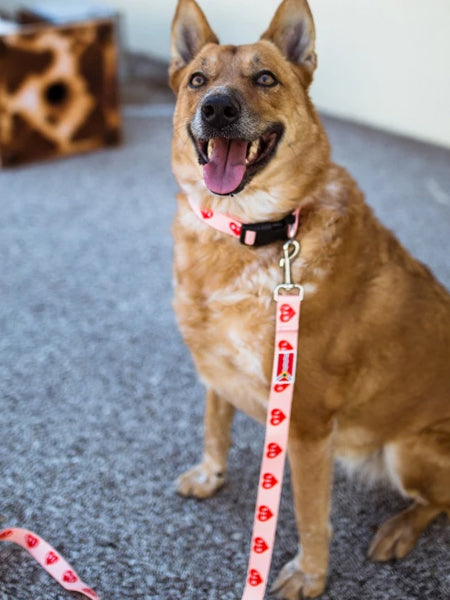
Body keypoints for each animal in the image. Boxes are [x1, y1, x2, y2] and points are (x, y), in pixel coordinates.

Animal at [169, 0, 450, 596]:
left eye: (265, 78)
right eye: (198, 79)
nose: (217, 108)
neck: (252, 232)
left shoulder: (306, 426)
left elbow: (309, 512)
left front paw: (309, 574)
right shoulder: (215, 369)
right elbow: (214, 427)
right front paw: (210, 474)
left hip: (408, 450)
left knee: (441, 502)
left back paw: (399, 528)